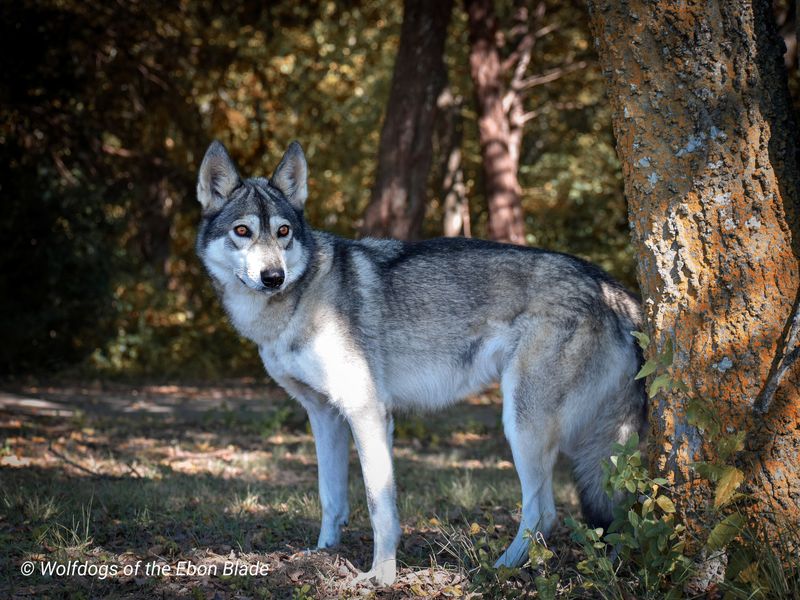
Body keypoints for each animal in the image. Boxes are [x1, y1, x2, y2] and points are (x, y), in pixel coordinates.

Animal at [197, 142, 648, 584]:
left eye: (283, 232)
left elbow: (379, 506)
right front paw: (323, 556)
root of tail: (613, 289)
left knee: (544, 512)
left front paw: (380, 576)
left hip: (523, 426)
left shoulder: (367, 413)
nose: (273, 277)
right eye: (243, 231)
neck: (299, 298)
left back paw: (496, 570)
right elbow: (331, 497)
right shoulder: (324, 415)